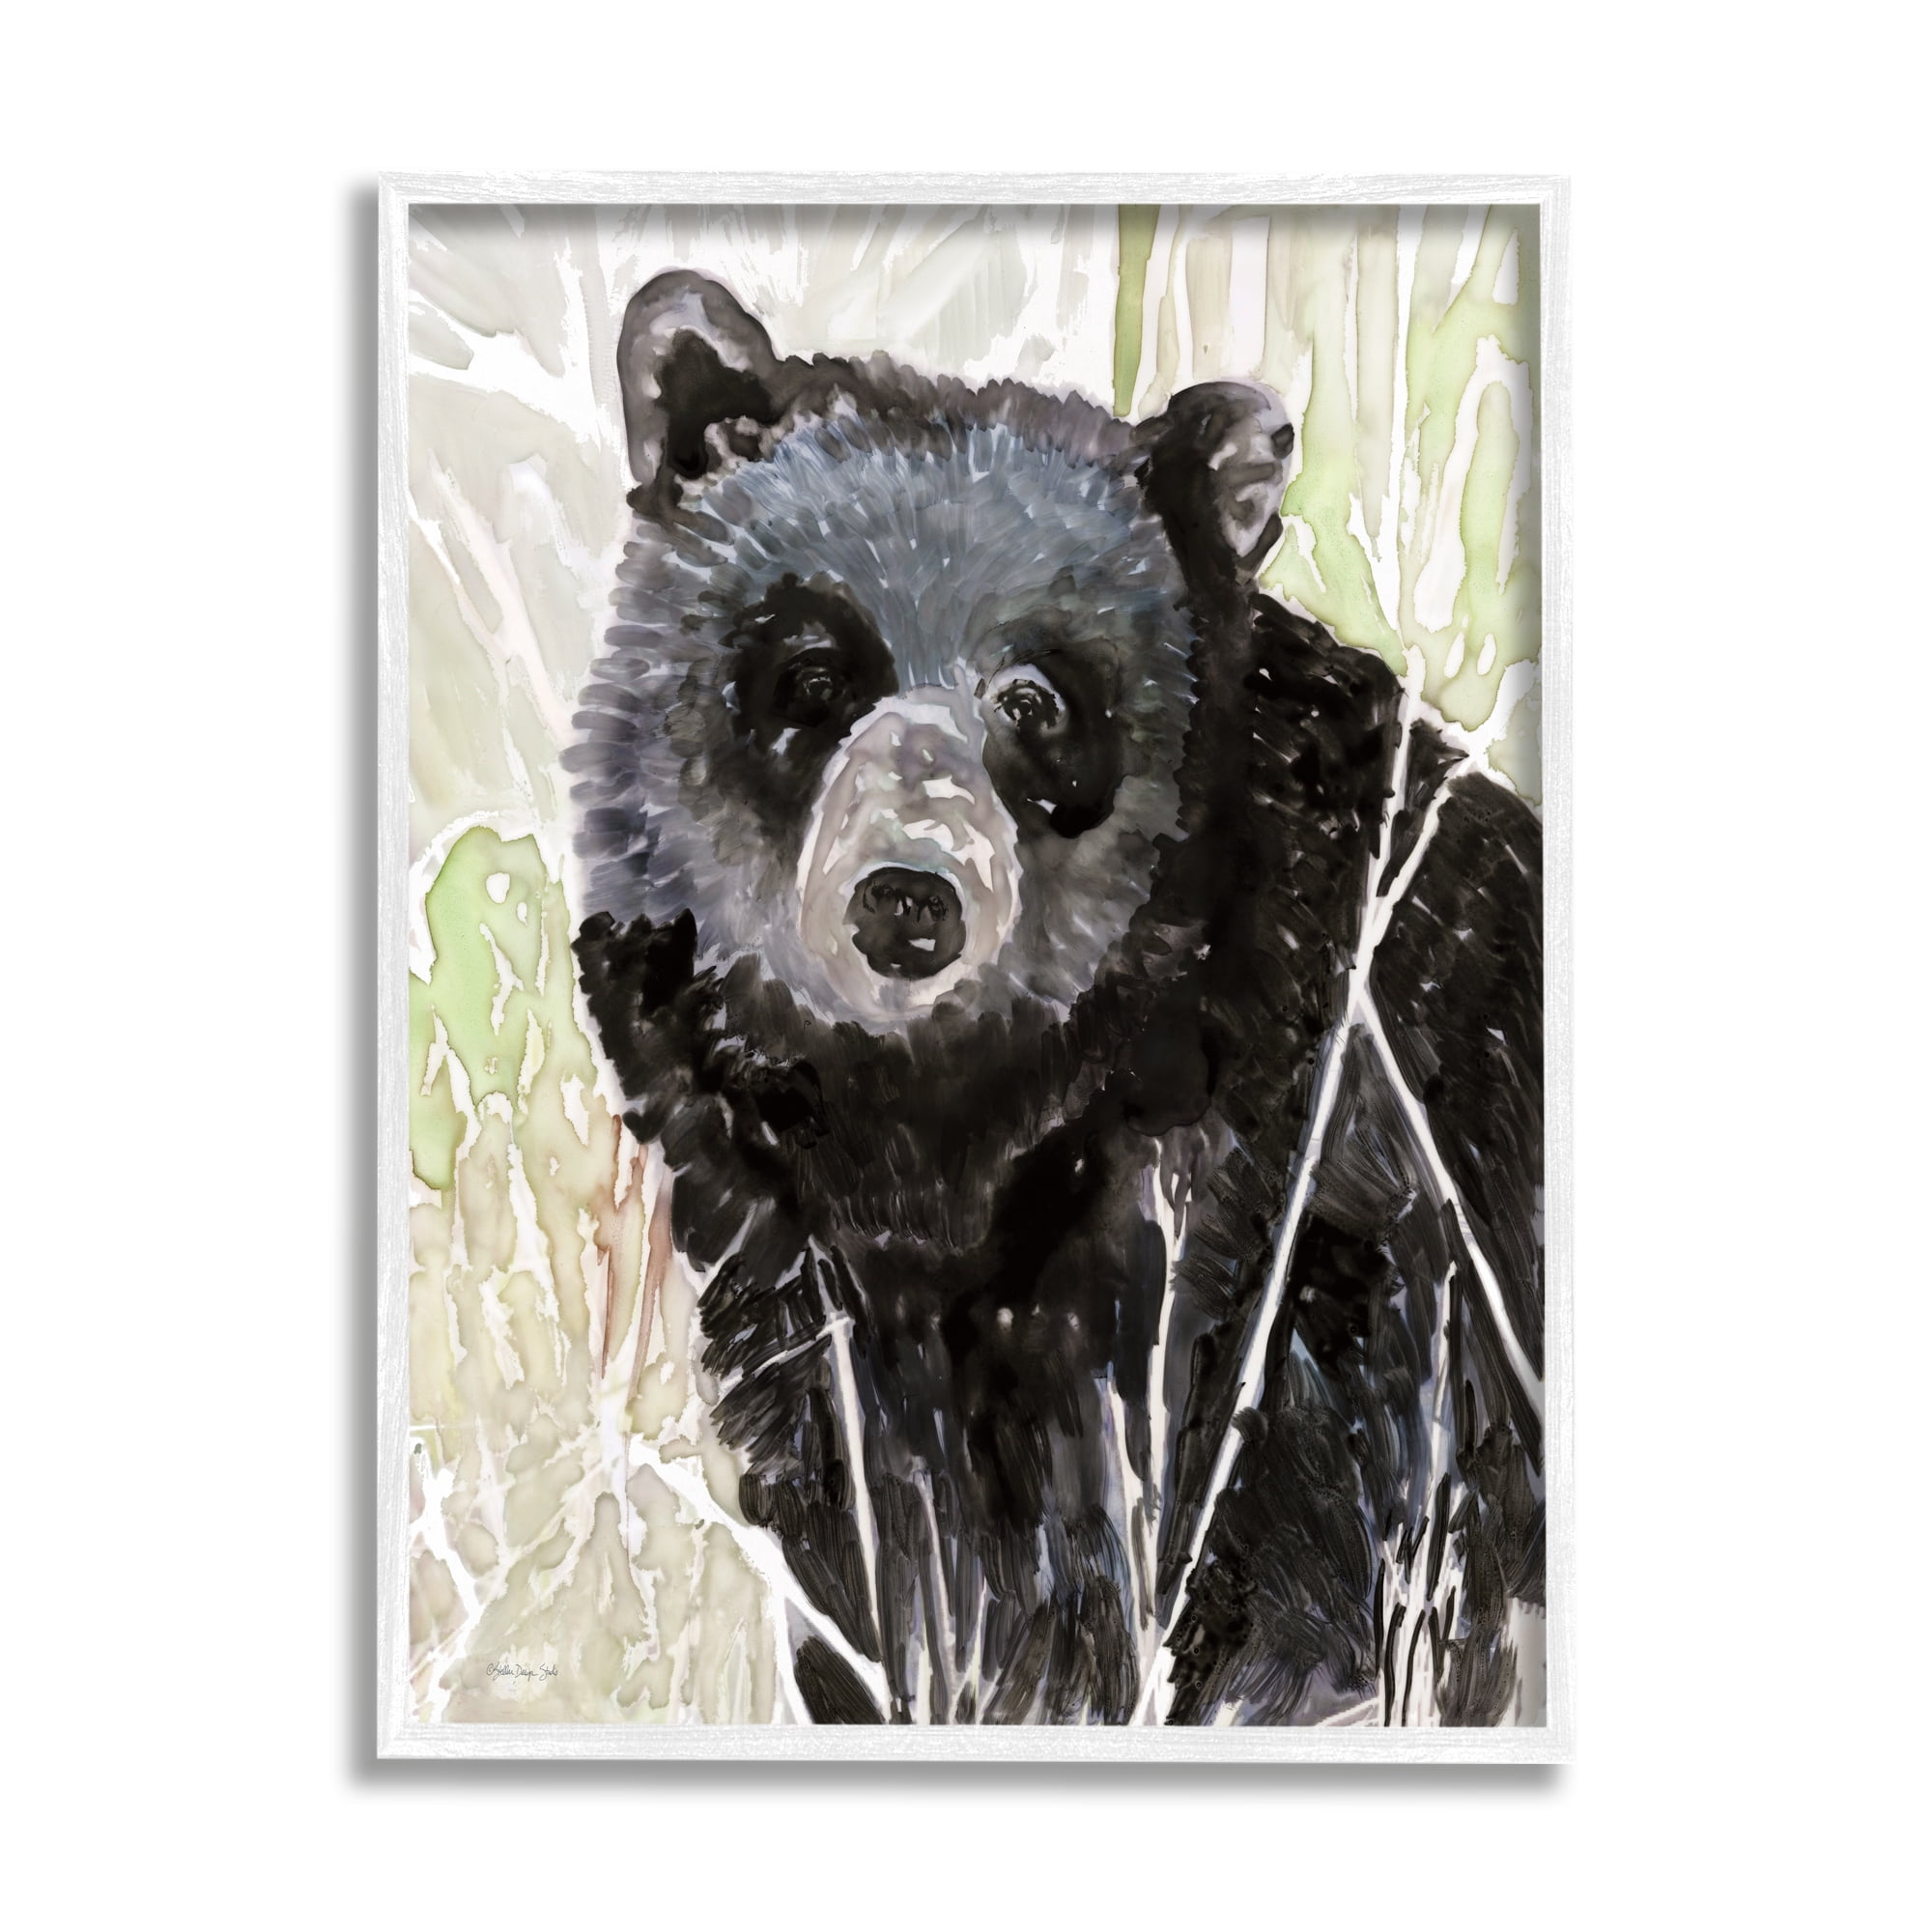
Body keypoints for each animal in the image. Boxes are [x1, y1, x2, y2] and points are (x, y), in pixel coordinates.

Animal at [566, 270, 1544, 1727]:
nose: (908, 900)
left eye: (1034, 698)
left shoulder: (1283, 1220)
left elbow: (1229, 1560)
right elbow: (860, 1527)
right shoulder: (782, 1253)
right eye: (815, 673)